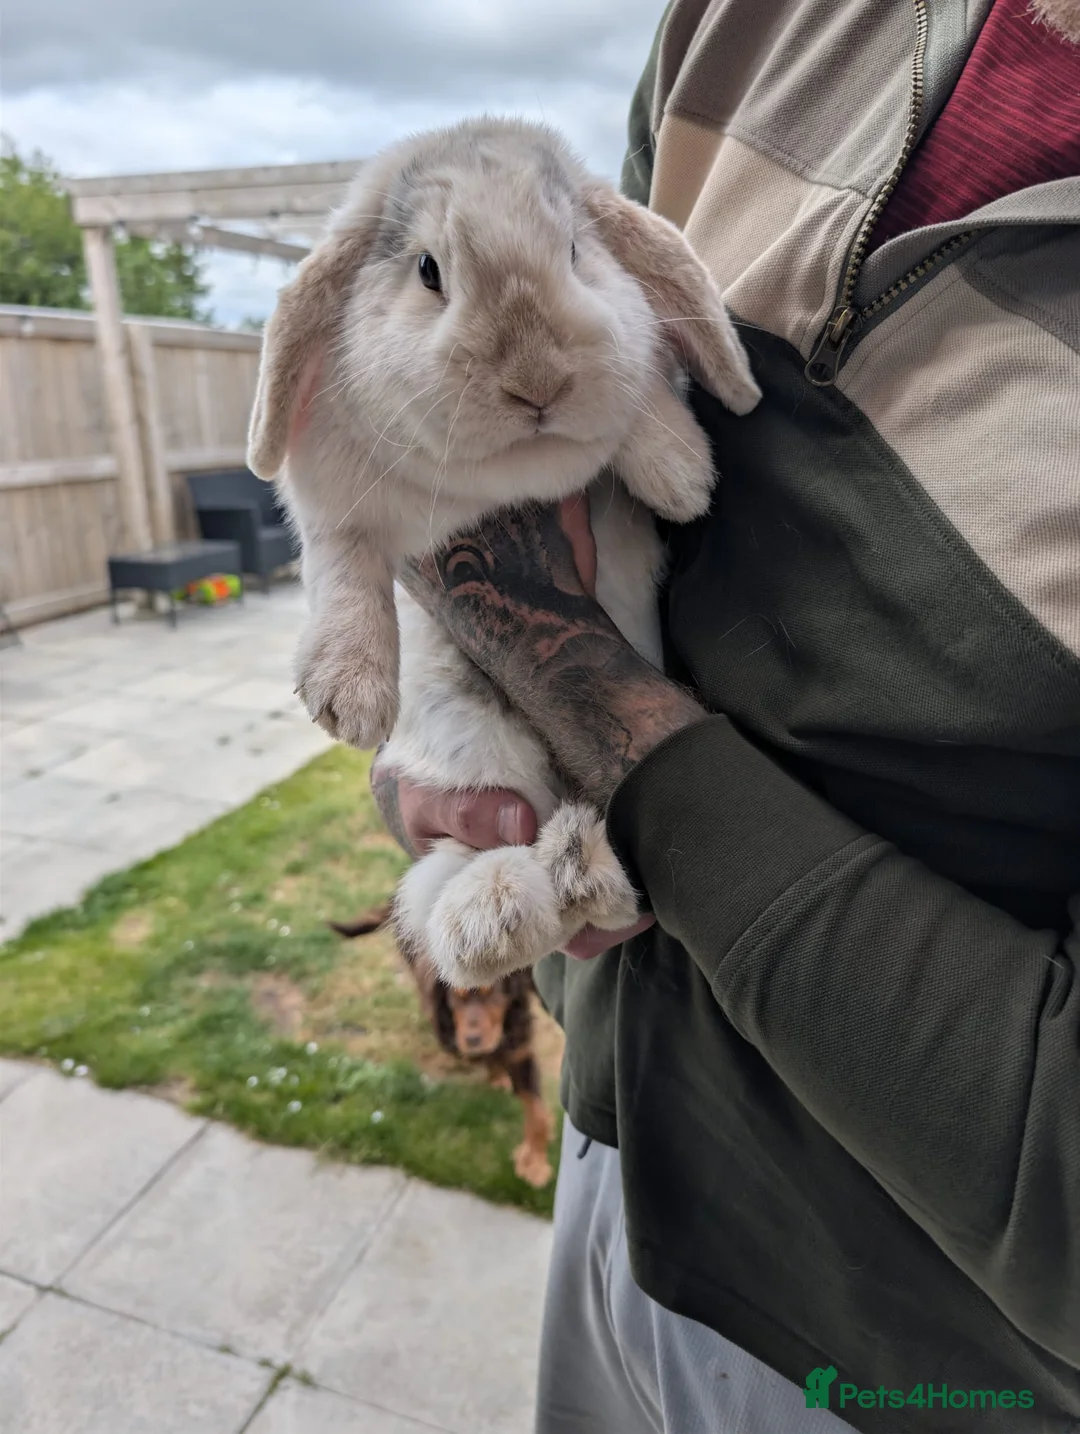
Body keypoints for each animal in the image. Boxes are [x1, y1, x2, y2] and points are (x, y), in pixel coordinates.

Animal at [246, 116, 760, 985]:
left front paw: (682, 474)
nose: (537, 379)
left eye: (578, 252)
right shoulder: (331, 503)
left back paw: (580, 871)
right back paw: (501, 910)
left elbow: (640, 400)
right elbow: (342, 567)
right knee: (454, 880)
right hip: (474, 753)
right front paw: (347, 696)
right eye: (429, 270)